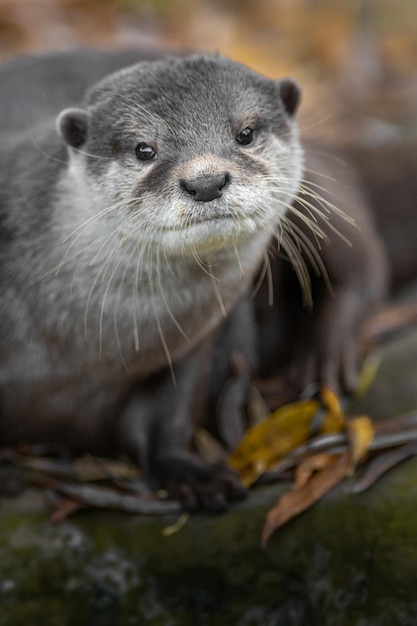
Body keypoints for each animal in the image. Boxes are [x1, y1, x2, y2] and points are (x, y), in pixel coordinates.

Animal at [0, 47, 386, 508]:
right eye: (143, 149)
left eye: (245, 134)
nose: (206, 181)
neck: (78, 342)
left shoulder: (189, 346)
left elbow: (169, 415)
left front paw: (189, 473)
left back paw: (324, 358)